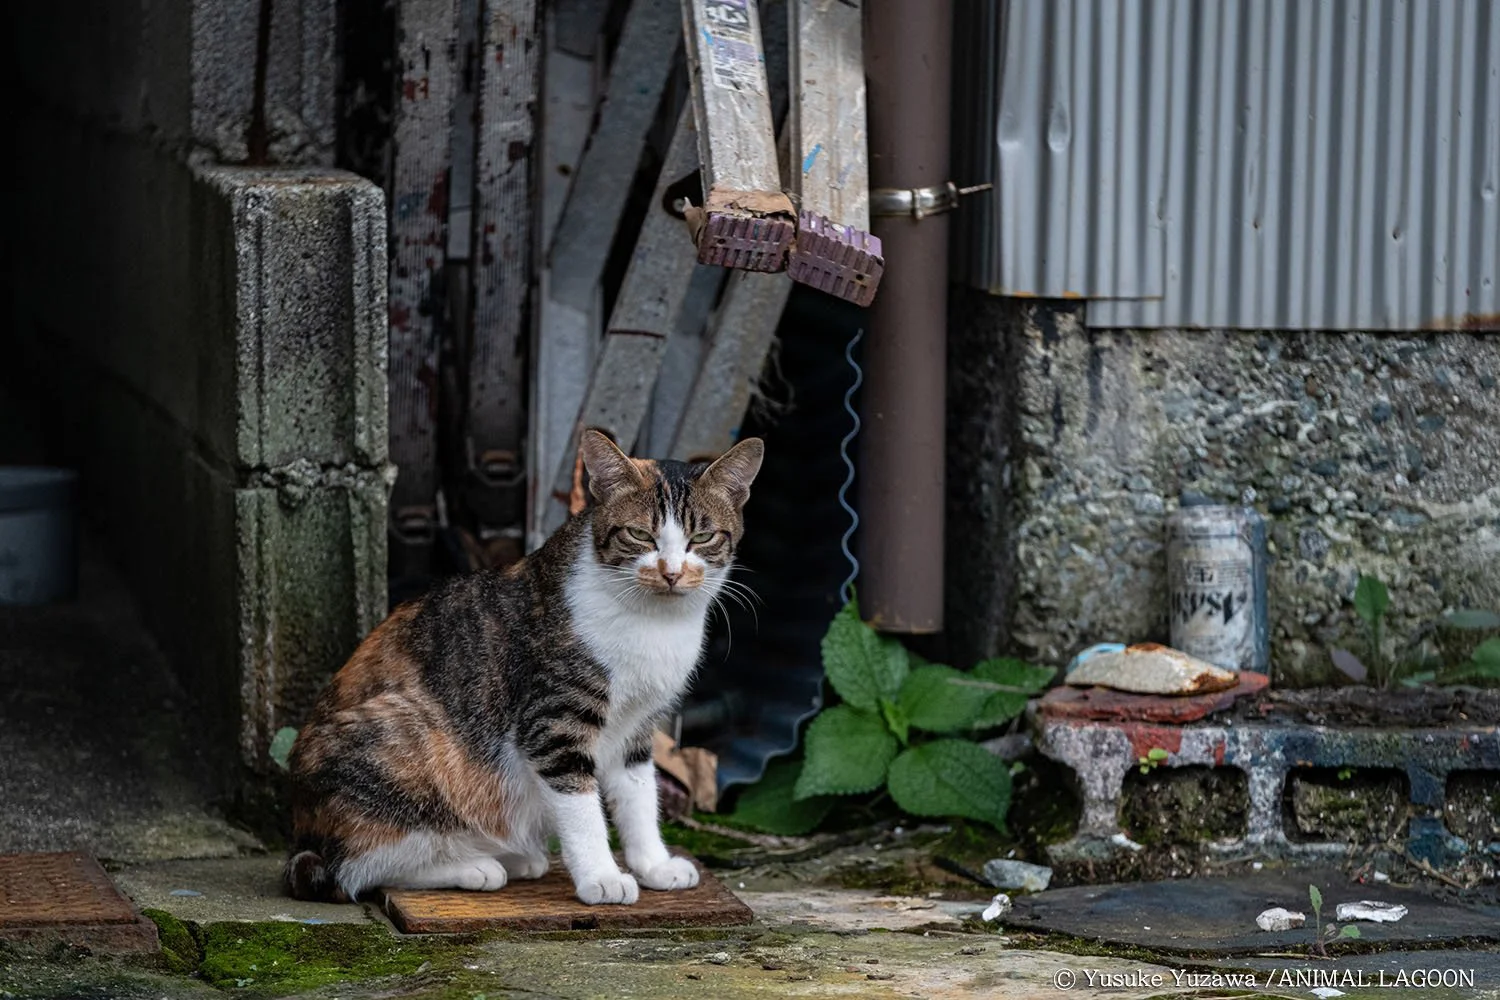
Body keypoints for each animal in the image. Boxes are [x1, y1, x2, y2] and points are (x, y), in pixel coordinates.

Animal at [283, 431, 762, 905]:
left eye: (702, 537)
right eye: (640, 534)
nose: (671, 572)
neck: (655, 624)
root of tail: (303, 832)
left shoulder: (639, 725)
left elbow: (639, 796)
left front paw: (654, 865)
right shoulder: (554, 720)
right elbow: (581, 805)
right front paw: (601, 877)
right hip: (405, 740)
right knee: (359, 868)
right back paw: (473, 866)